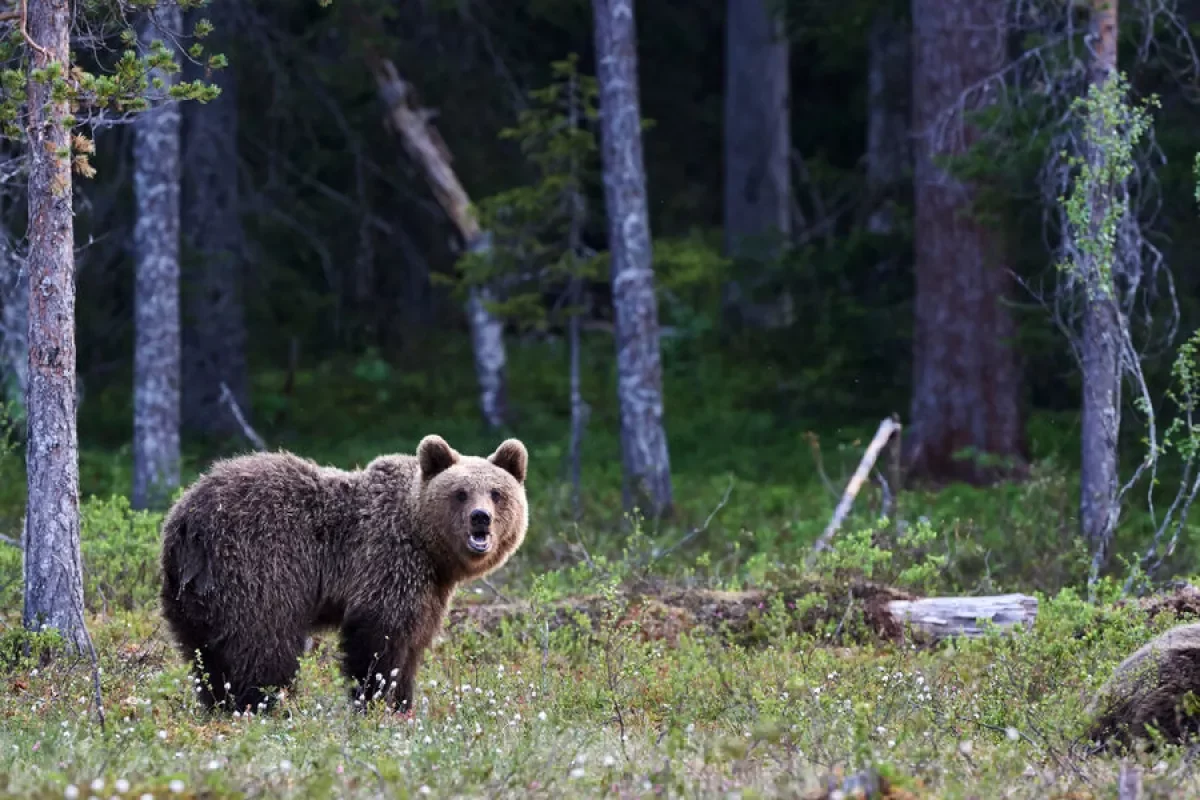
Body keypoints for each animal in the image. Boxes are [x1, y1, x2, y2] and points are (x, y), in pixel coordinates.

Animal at [157, 434, 528, 714]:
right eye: (460, 492)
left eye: (496, 492)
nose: (480, 518)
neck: (429, 549)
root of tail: (184, 521)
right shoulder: (387, 560)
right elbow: (379, 640)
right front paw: (377, 703)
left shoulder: (430, 589)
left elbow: (413, 643)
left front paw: (403, 704)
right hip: (257, 569)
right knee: (263, 646)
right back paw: (264, 706)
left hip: (192, 597)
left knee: (207, 656)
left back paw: (219, 704)